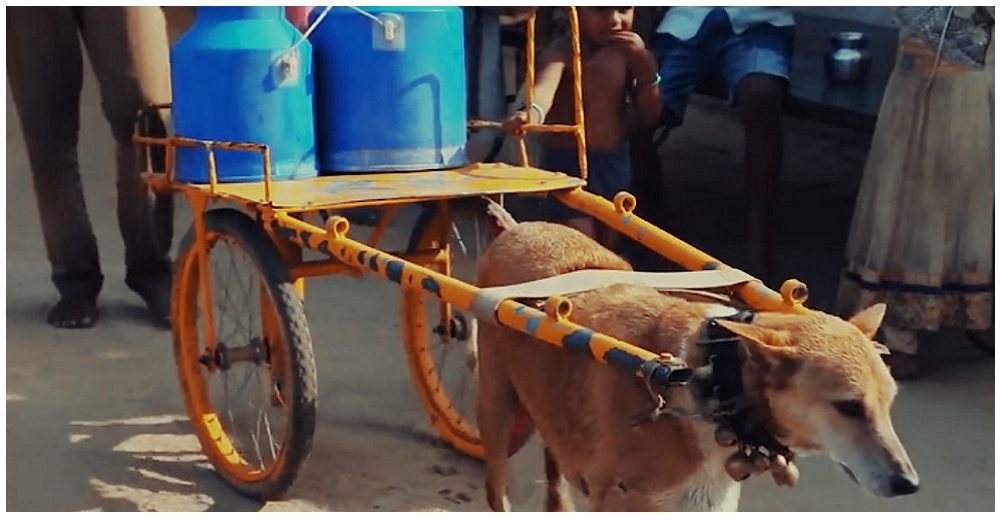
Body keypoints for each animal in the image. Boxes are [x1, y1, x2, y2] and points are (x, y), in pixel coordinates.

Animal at [472, 220, 916, 512]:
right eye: (849, 407)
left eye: (890, 403)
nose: (909, 484)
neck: (708, 377)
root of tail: (519, 227)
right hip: (496, 409)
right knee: (496, 487)